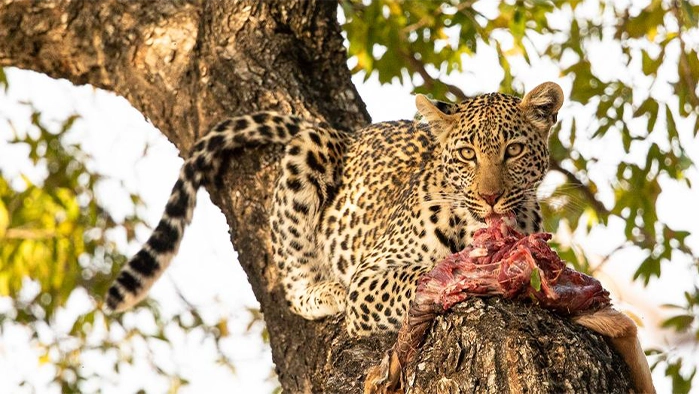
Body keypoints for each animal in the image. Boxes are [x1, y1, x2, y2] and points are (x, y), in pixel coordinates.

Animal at [105, 82, 564, 336]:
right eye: (468, 154)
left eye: (513, 150)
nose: (490, 197)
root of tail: (347, 135)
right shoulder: (371, 274)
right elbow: (421, 274)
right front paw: (467, 273)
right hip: (307, 157)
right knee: (293, 283)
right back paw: (327, 292)